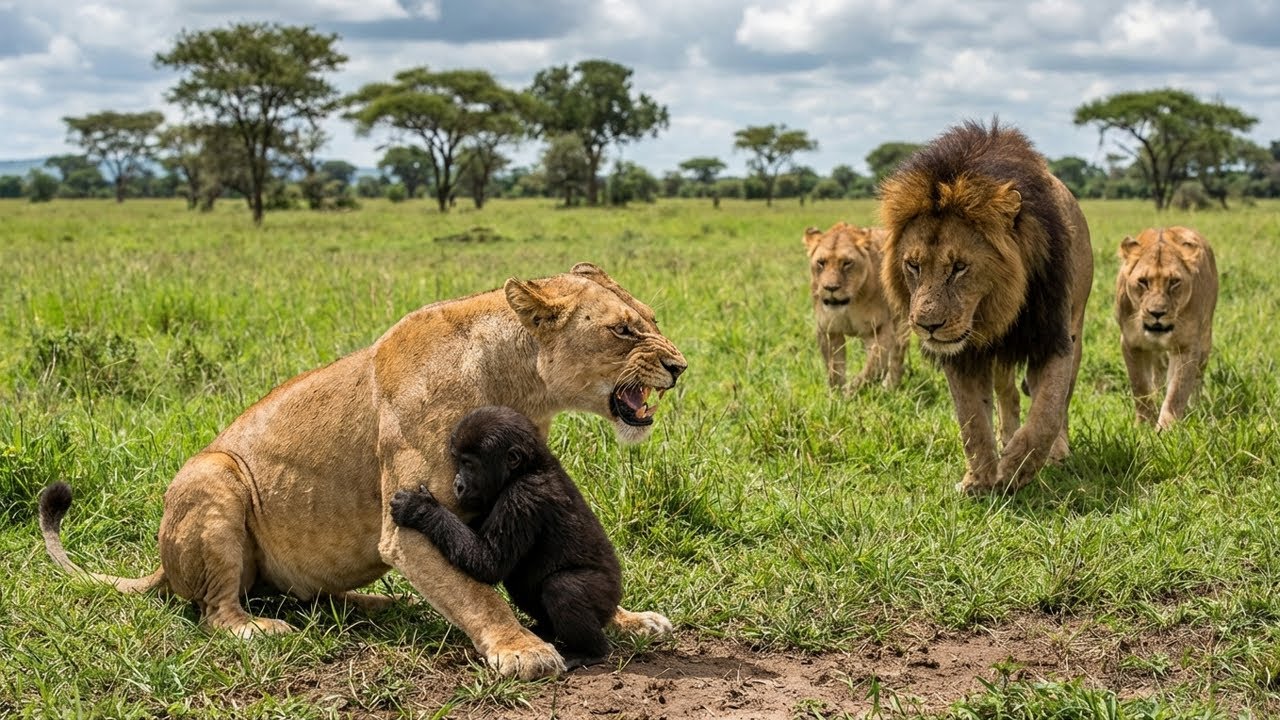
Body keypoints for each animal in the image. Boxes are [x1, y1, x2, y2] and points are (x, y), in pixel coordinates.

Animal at [390, 406, 623, 669]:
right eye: (459, 462)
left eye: (468, 464)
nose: (457, 484)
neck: (529, 467)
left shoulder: (523, 496)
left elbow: (488, 563)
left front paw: (419, 509)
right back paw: (546, 631)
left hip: (606, 596)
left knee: (564, 588)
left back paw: (589, 651)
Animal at [804, 223, 908, 391]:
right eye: (821, 262)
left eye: (847, 263)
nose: (831, 288)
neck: (850, 305)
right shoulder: (828, 330)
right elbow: (834, 370)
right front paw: (837, 395)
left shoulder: (882, 328)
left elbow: (873, 368)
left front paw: (850, 391)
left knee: (897, 356)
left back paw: (890, 387)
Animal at [879, 120, 1093, 493]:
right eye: (913, 265)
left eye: (959, 267)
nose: (927, 325)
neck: (1000, 310)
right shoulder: (963, 355)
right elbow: (972, 419)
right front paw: (979, 479)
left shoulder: (1053, 339)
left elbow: (1047, 413)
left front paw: (1016, 469)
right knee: (1007, 394)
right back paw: (1005, 438)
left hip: (1076, 327)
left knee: (1062, 401)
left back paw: (1055, 451)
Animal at [1115, 227, 1218, 430]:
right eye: (1143, 281)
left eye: (1174, 282)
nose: (1157, 313)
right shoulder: (1130, 343)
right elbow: (1140, 386)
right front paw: (1143, 425)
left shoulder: (1186, 347)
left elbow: (1177, 393)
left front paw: (1166, 430)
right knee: (1158, 372)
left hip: (1205, 340)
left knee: (1197, 378)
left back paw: (1194, 407)